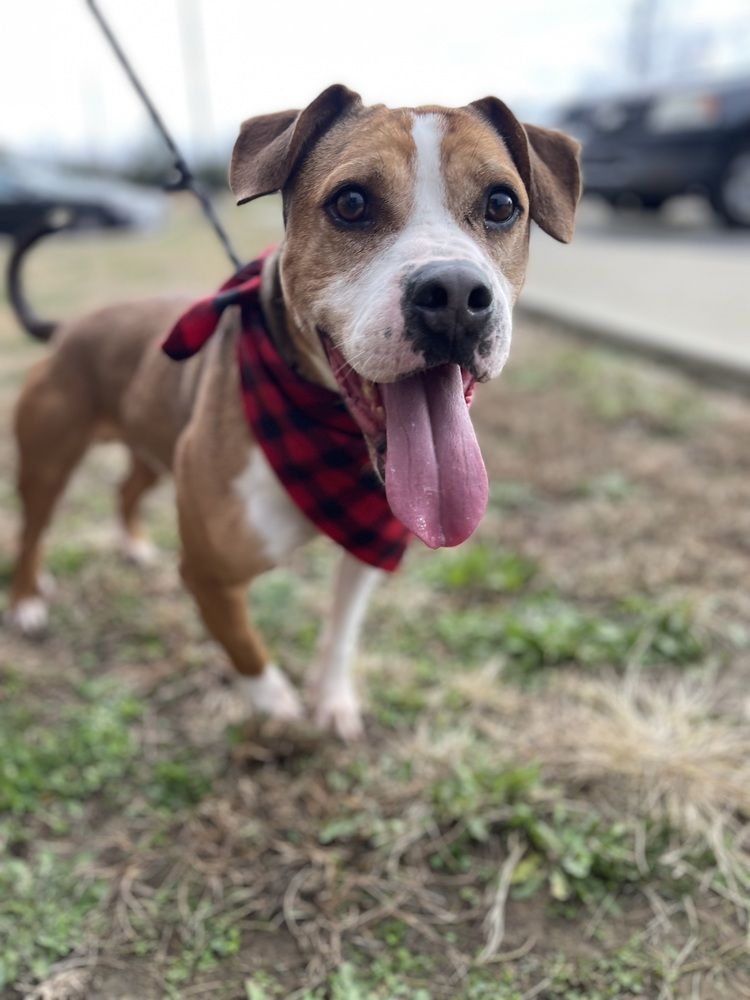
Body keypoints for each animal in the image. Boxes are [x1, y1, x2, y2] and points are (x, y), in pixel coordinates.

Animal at [4, 86, 580, 740]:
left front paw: (331, 700)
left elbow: (341, 631)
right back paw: (27, 601)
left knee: (126, 489)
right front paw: (276, 705)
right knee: (32, 529)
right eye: (351, 202)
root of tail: (68, 327)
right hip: (47, 461)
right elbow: (244, 646)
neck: (324, 433)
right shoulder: (210, 575)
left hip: (150, 445)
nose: (456, 296)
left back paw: (131, 547)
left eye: (502, 204)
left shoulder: (368, 544)